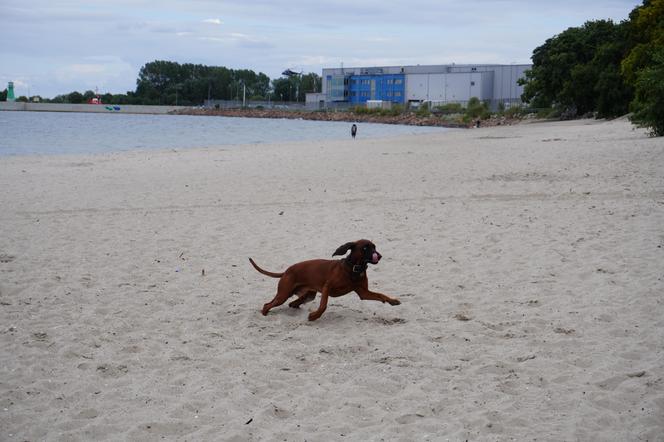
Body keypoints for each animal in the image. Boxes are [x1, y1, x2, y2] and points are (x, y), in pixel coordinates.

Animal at [250, 240, 400, 320]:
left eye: (374, 247)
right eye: (365, 247)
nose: (379, 256)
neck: (353, 269)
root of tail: (287, 271)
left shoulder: (363, 292)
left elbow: (380, 295)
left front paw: (392, 301)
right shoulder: (327, 287)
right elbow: (324, 305)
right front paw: (314, 316)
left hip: (308, 295)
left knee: (293, 303)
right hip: (283, 294)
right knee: (267, 304)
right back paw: (265, 314)